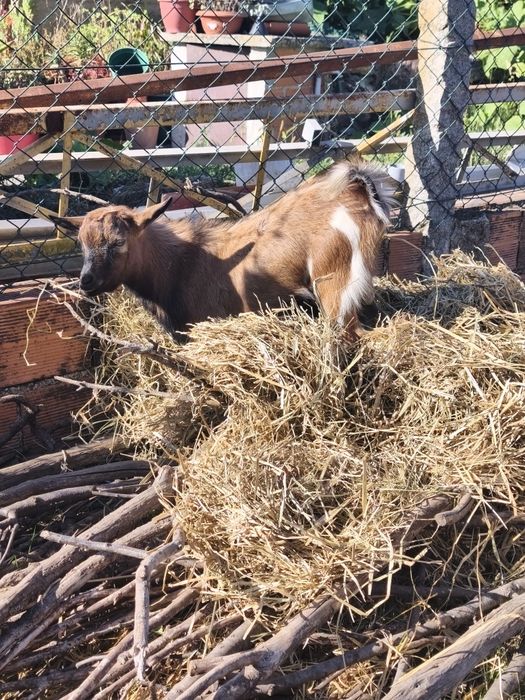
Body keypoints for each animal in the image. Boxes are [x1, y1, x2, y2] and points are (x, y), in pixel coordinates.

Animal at [57, 160, 395, 340]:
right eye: (82, 243)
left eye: (118, 242)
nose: (86, 281)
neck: (177, 264)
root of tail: (356, 193)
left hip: (336, 290)